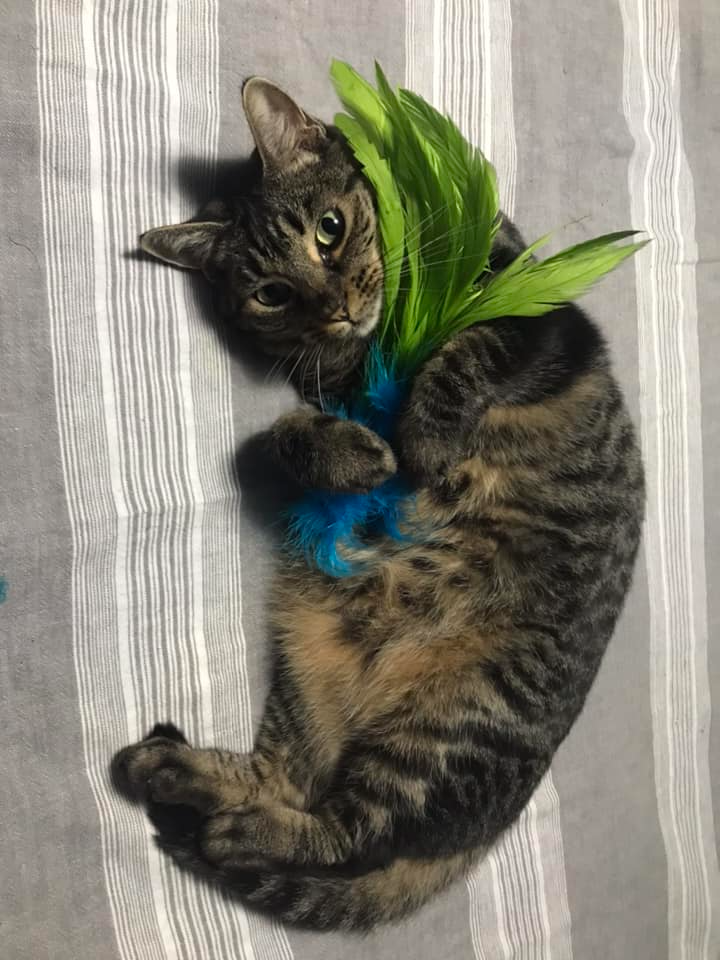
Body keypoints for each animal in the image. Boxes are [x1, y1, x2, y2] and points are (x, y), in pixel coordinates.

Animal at [114, 77, 648, 928]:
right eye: (272, 294)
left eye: (330, 230)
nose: (335, 306)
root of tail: (474, 841)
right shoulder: (326, 392)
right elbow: (275, 436)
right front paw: (358, 453)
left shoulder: (545, 320)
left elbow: (468, 346)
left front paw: (423, 436)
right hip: (316, 680)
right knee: (306, 798)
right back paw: (177, 778)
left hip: (446, 725)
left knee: (350, 836)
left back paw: (219, 821)